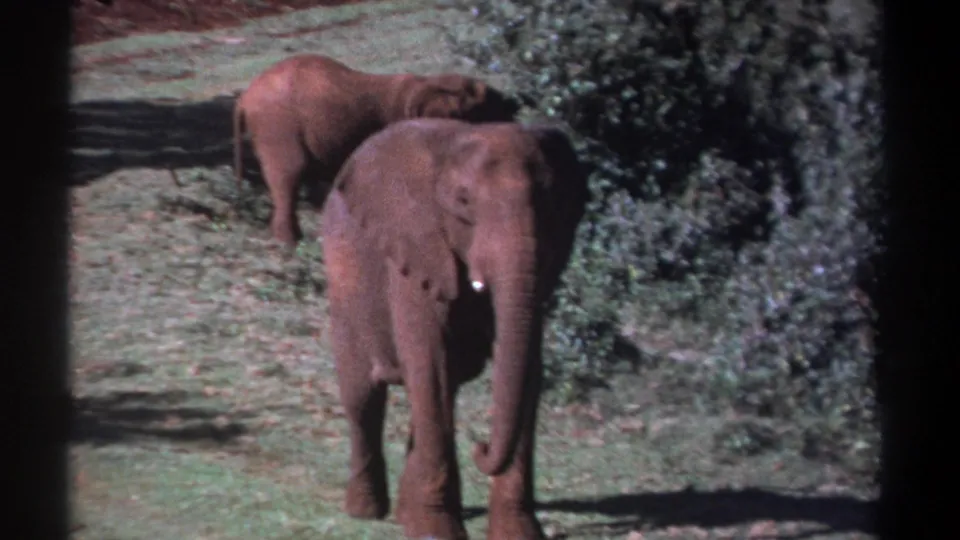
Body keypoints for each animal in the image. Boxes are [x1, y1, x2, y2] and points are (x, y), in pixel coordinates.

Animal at [232, 54, 520, 245]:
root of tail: (243, 100)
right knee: (288, 175)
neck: (428, 83)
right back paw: (290, 243)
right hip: (277, 126)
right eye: (483, 107)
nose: (515, 105)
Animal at [319, 117, 590, 540]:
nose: (481, 446)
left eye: (550, 204)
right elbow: (429, 362)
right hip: (342, 280)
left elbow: (529, 370)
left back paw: (405, 515)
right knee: (364, 397)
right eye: (463, 202)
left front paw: (518, 534)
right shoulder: (416, 250)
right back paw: (366, 512)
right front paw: (436, 531)